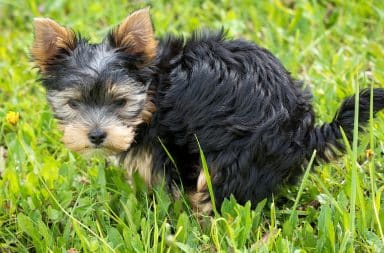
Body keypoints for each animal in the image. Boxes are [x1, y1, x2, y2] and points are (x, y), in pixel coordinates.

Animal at [32, 7, 384, 213]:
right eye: (74, 103)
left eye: (120, 102)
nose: (96, 136)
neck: (154, 90)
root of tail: (304, 132)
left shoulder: (167, 145)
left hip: (238, 156)